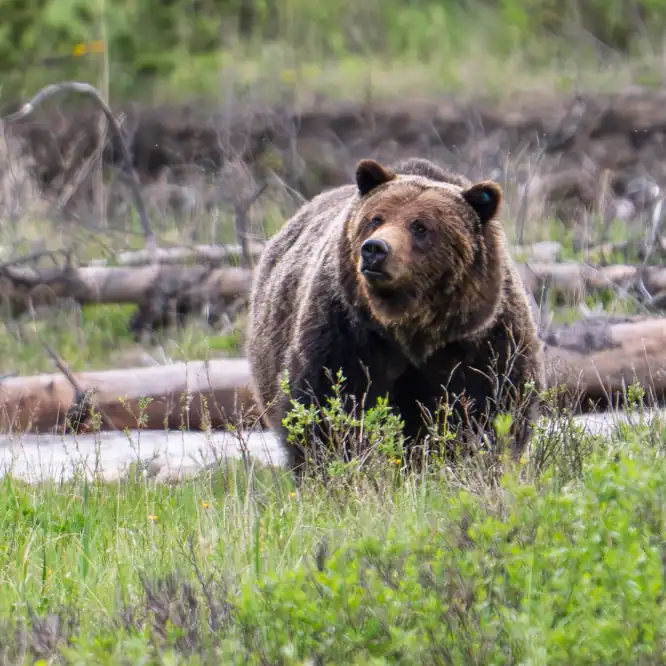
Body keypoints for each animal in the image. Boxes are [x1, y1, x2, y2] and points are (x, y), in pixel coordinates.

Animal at [246, 156, 546, 478]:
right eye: (376, 219)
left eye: (420, 226)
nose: (375, 249)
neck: (410, 327)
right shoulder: (347, 331)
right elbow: (327, 403)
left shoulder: (481, 339)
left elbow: (490, 407)